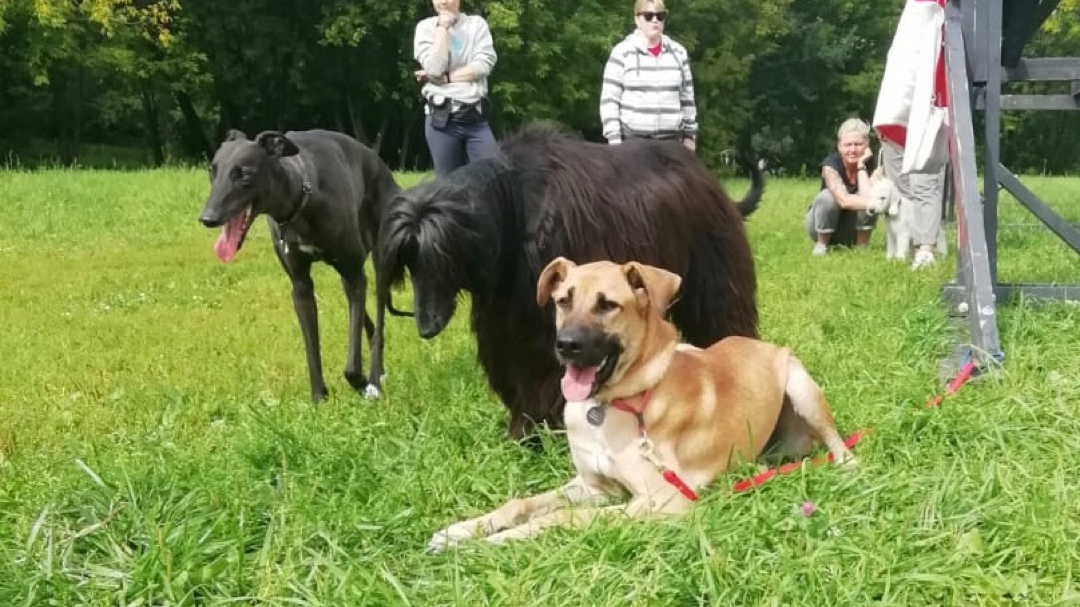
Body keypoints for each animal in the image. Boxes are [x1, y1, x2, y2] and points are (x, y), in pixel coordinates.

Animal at [199, 127, 401, 401]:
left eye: (244, 174)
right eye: (213, 170)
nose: (207, 218)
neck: (300, 200)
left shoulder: (353, 274)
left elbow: (351, 363)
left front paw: (360, 381)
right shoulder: (301, 285)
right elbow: (311, 346)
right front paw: (319, 398)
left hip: (377, 259)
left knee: (377, 317)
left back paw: (375, 376)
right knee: (366, 323)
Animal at [378, 125, 760, 434]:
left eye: (443, 262)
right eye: (410, 265)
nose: (426, 325)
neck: (512, 211)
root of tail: (707, 177)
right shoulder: (505, 320)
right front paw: (523, 432)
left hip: (715, 275)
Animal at [425, 257, 855, 550]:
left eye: (607, 305)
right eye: (564, 300)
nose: (565, 346)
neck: (609, 406)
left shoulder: (662, 502)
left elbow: (562, 518)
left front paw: (493, 543)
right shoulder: (595, 486)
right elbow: (521, 503)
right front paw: (461, 531)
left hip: (801, 386)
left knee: (841, 448)